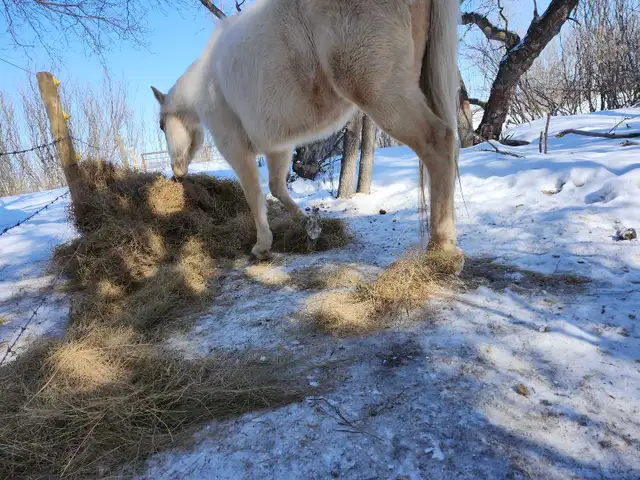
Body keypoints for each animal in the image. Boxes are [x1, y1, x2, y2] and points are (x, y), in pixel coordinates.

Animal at [151, 0, 460, 261]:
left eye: (162, 125)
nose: (176, 172)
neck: (205, 82)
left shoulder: (235, 148)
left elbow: (254, 196)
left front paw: (262, 245)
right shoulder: (277, 146)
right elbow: (277, 187)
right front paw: (306, 222)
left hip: (382, 93)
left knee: (438, 143)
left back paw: (442, 247)